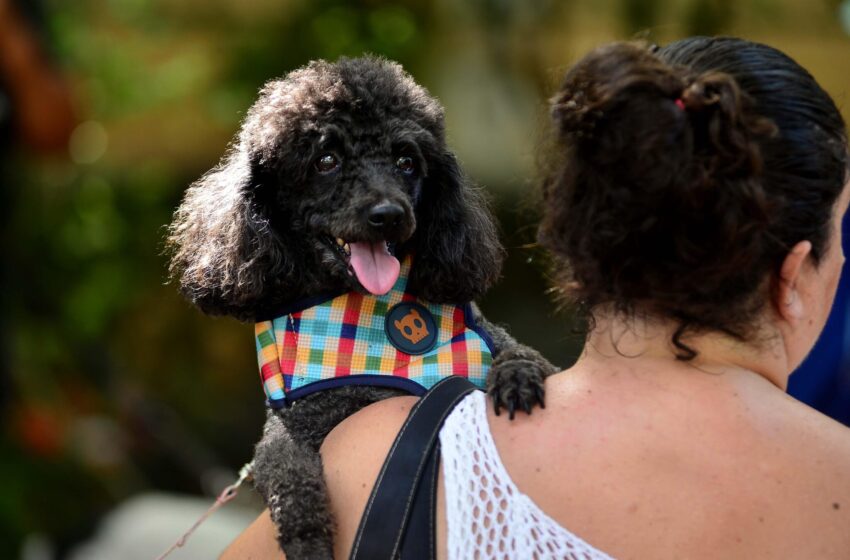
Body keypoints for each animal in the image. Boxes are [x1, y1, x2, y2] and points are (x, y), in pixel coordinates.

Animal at [167, 55, 556, 556]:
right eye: (326, 161)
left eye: (406, 162)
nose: (388, 215)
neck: (360, 318)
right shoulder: (291, 428)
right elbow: (289, 479)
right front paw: (309, 540)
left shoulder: (494, 341)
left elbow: (519, 353)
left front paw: (517, 376)